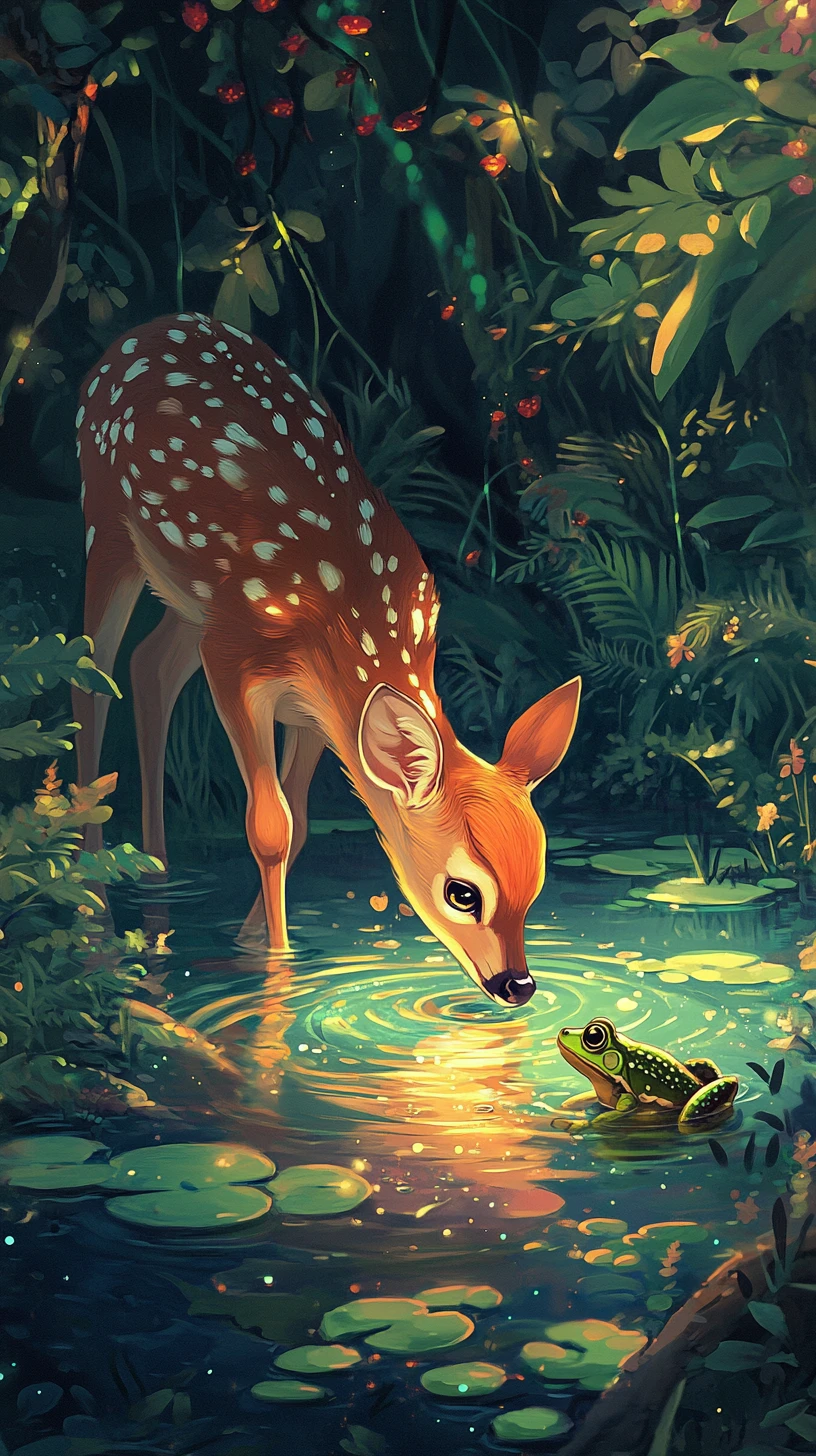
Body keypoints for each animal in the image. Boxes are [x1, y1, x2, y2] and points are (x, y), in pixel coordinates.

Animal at [72, 312, 580, 1007]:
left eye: (538, 880)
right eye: (463, 892)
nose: (519, 985)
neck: (347, 628)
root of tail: (140, 332)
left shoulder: (317, 709)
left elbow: (304, 824)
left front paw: (249, 942)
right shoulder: (234, 656)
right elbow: (270, 826)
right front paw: (276, 968)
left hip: (187, 596)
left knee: (150, 668)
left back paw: (157, 874)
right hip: (108, 522)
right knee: (89, 677)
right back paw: (92, 895)